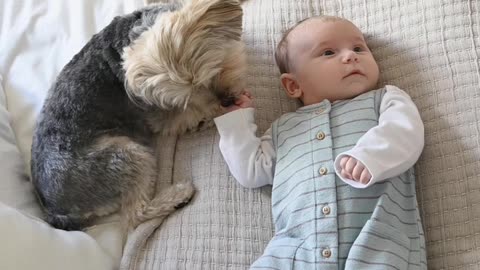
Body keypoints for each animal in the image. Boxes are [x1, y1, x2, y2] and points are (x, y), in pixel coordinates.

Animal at [29, 0, 246, 231]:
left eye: (215, 68)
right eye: (188, 95)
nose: (227, 101)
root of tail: (54, 211)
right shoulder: (159, 116)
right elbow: (190, 113)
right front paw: (216, 112)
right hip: (126, 155)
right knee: (135, 215)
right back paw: (179, 195)